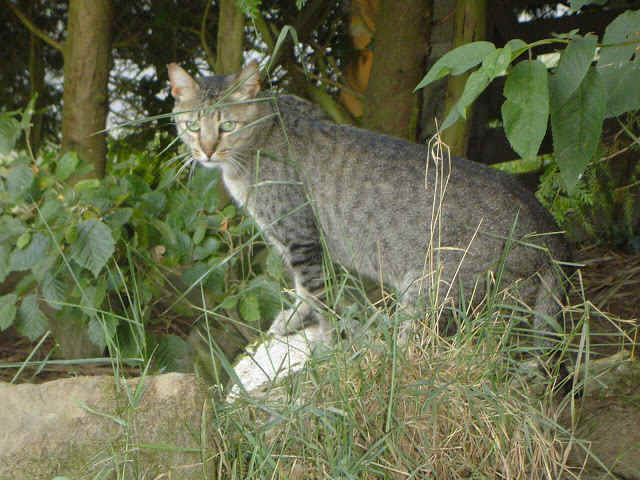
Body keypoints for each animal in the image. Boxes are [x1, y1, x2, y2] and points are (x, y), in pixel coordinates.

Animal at [168, 59, 568, 338]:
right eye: (192, 126)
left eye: (227, 126)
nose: (206, 150)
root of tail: (551, 232)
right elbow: (303, 292)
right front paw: (295, 318)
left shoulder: (299, 238)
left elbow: (317, 296)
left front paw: (327, 341)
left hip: (431, 287)